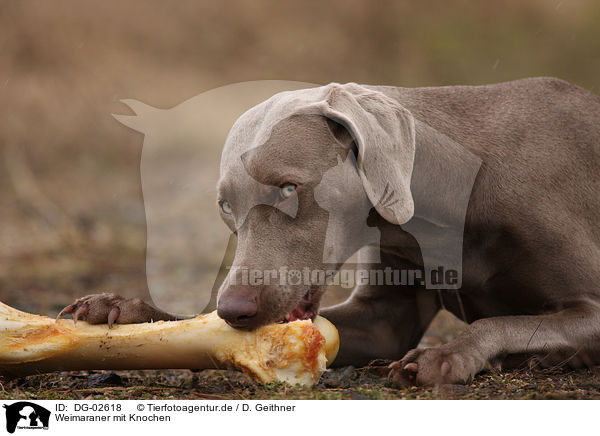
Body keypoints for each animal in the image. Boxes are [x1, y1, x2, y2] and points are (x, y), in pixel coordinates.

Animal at [59, 77, 600, 384]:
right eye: (225, 206)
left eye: (288, 189)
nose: (233, 310)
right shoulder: (385, 319)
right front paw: (126, 309)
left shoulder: (592, 305)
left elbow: (496, 324)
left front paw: (447, 355)